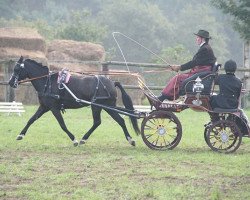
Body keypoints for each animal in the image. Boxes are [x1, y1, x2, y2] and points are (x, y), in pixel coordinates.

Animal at [8, 56, 140, 147]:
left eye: (17, 69)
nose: (10, 82)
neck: (47, 82)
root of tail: (112, 82)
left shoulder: (54, 108)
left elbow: (62, 125)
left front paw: (74, 139)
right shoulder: (44, 107)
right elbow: (31, 120)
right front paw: (20, 135)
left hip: (99, 106)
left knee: (102, 121)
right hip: (106, 107)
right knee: (116, 121)